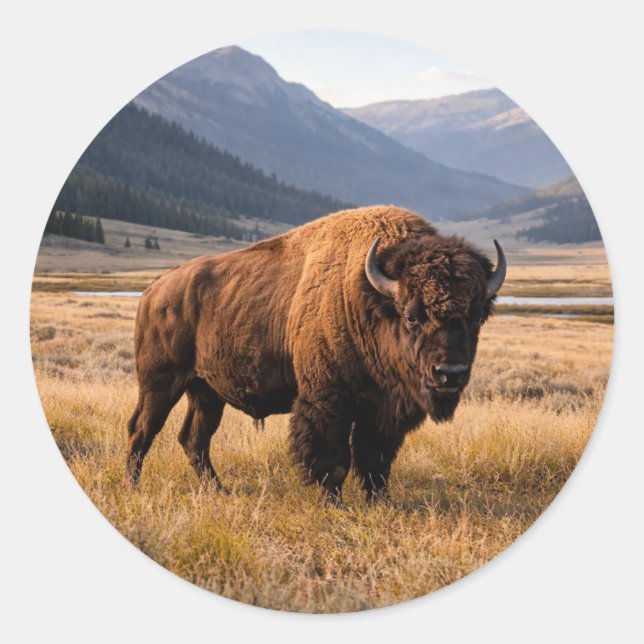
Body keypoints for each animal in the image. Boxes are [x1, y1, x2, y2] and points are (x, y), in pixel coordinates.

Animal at [127, 206, 506, 505]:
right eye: (412, 315)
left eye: (476, 316)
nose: (450, 373)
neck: (367, 298)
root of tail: (153, 290)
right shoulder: (328, 401)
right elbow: (334, 459)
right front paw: (334, 505)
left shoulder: (383, 412)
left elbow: (376, 461)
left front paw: (382, 503)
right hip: (161, 384)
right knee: (142, 430)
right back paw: (133, 486)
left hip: (207, 392)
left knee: (194, 439)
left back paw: (219, 491)